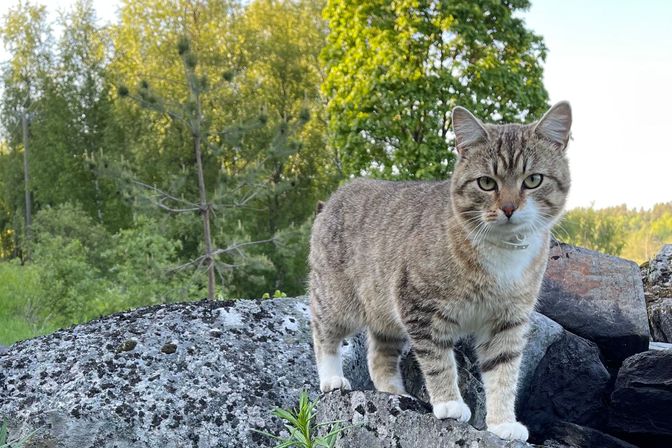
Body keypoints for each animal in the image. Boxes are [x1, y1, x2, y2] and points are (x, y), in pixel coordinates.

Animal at [310, 101, 572, 440]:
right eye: (486, 182)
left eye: (533, 180)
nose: (509, 208)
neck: (500, 251)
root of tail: (334, 197)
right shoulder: (420, 307)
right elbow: (438, 361)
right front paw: (449, 403)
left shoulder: (508, 319)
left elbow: (503, 373)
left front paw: (502, 423)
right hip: (337, 299)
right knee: (323, 333)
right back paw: (332, 379)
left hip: (384, 310)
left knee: (379, 354)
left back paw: (395, 393)